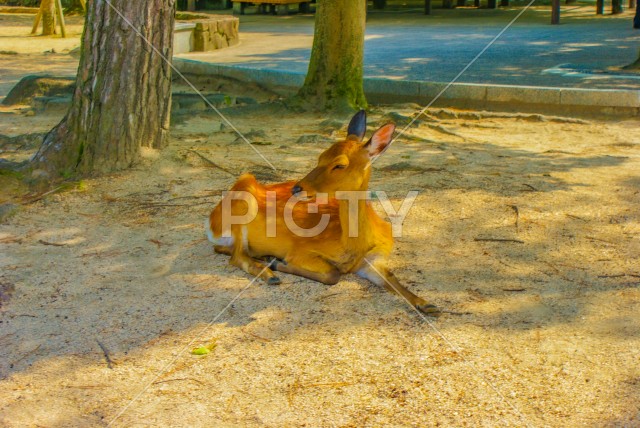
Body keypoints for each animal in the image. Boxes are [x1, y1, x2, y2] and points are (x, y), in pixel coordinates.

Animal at [205, 110, 440, 316]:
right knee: (235, 256)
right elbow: (333, 274)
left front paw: (428, 304)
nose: (297, 188)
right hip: (241, 201)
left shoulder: (373, 259)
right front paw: (279, 263)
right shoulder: (301, 250)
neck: (353, 246)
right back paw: (270, 272)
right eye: (320, 156)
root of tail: (210, 224)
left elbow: (393, 278)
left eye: (340, 164)